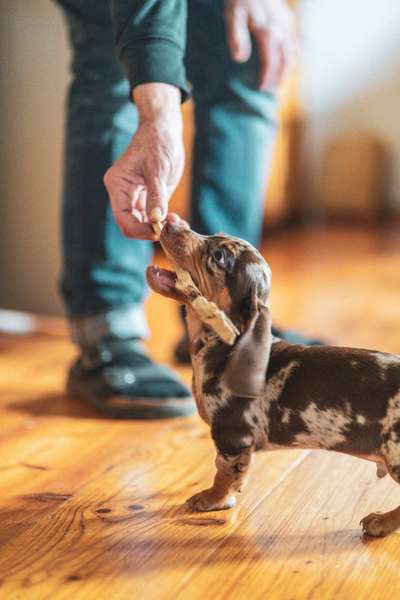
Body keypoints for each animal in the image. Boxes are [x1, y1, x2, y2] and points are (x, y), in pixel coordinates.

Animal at [147, 221, 400, 540]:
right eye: (216, 234)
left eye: (219, 256)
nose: (171, 221)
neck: (223, 346)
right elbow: (238, 471)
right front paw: (233, 490)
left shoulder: (231, 436)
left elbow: (221, 471)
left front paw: (213, 499)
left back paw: (382, 521)